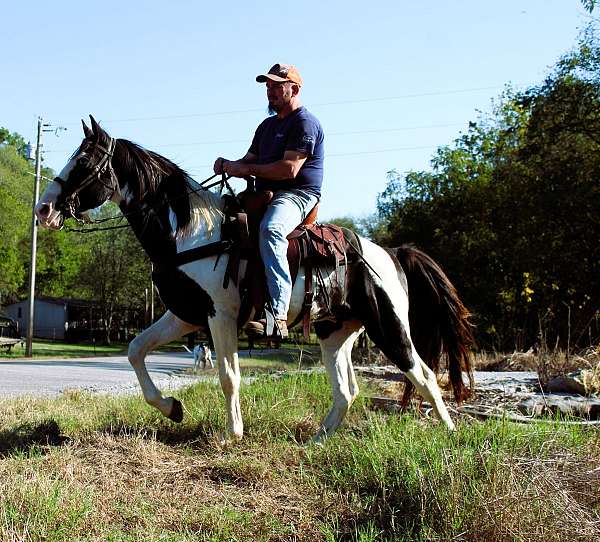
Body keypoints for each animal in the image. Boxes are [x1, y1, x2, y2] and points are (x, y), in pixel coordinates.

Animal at [35, 117, 474, 444]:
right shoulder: (185, 316)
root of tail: (391, 254)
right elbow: (135, 349)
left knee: (424, 375)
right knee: (346, 392)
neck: (189, 232)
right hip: (336, 332)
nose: (44, 209)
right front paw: (172, 407)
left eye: (84, 162)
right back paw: (316, 441)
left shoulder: (220, 316)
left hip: (389, 326)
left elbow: (229, 376)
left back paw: (451, 434)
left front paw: (231, 434)